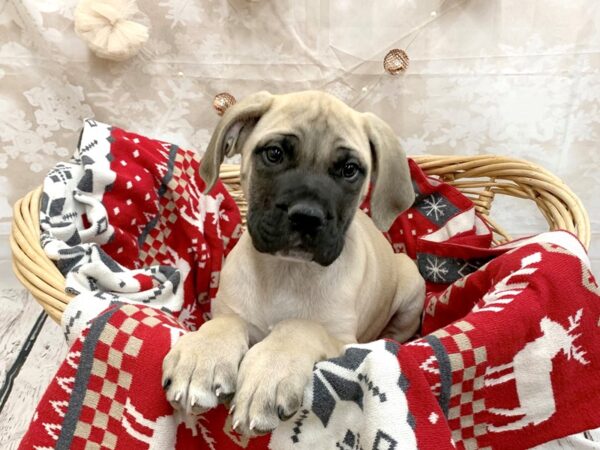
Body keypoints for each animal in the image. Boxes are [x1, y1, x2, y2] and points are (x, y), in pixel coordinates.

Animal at [163, 90, 426, 436]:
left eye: (350, 169)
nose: (307, 217)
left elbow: (299, 326)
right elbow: (225, 322)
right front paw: (202, 356)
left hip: (411, 281)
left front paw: (269, 374)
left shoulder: (342, 340)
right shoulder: (227, 309)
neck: (286, 272)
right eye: (274, 154)